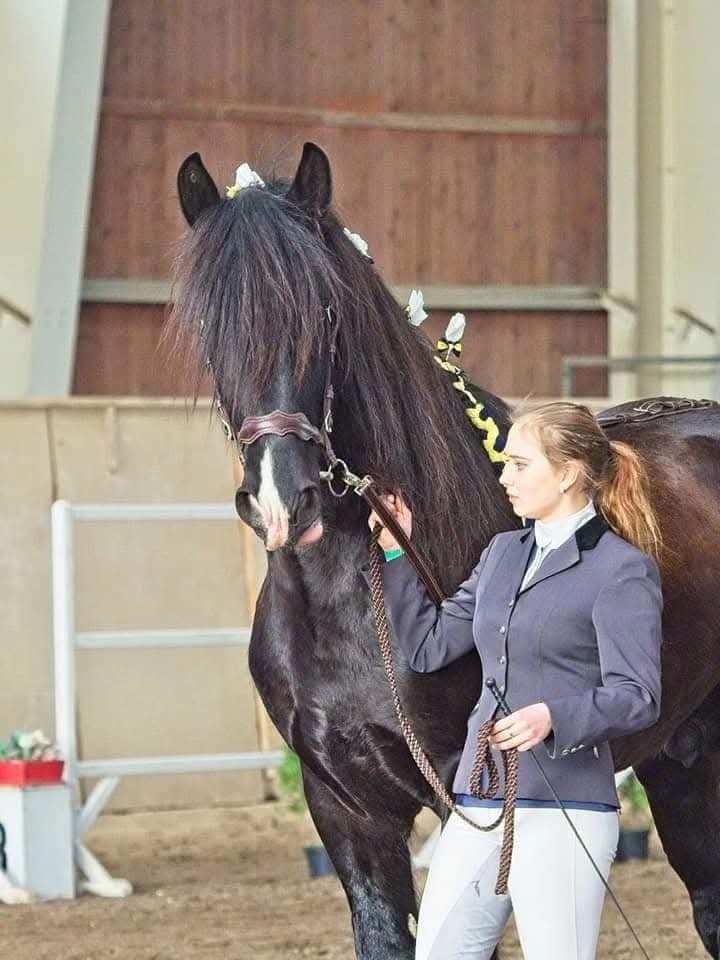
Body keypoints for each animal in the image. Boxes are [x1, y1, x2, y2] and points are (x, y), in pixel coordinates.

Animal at [169, 141, 720, 959]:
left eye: (324, 311)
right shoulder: (347, 810)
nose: (281, 500)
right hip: (684, 757)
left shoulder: (473, 800)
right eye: (212, 323)